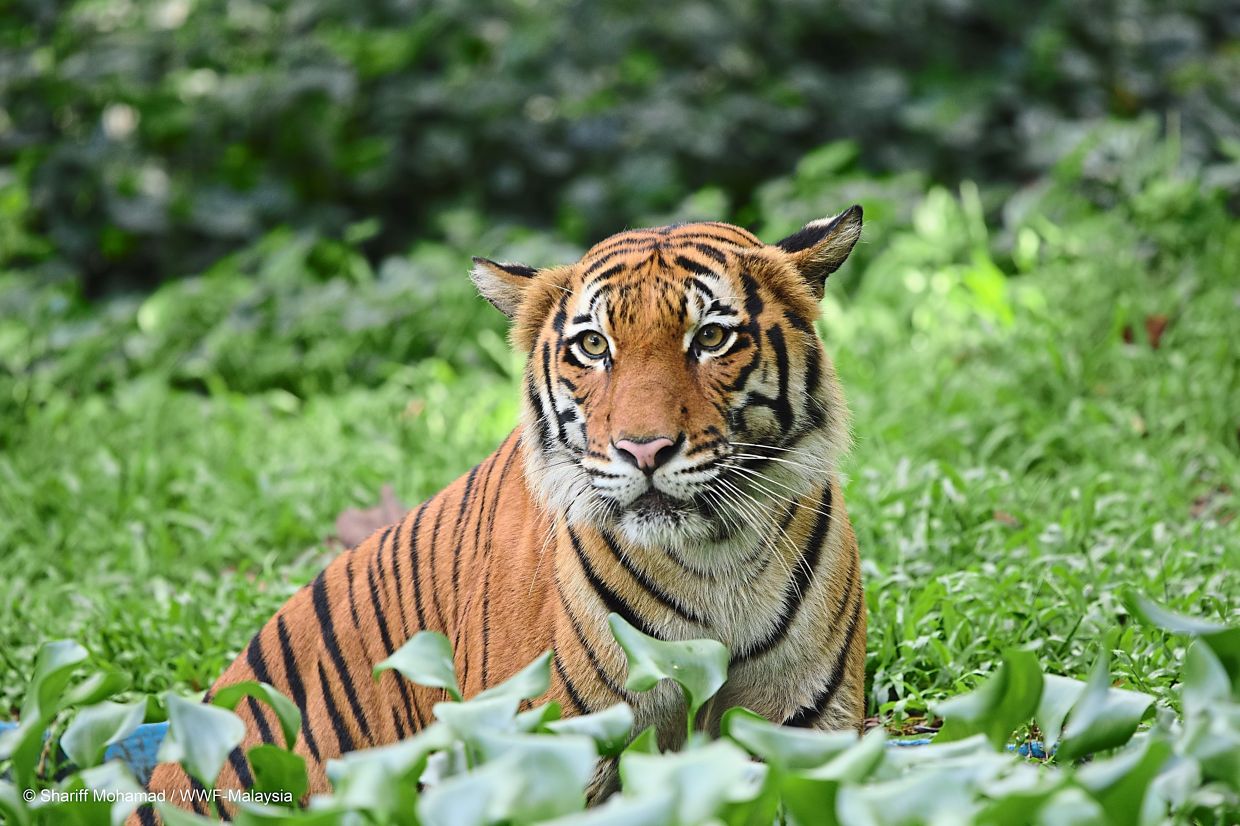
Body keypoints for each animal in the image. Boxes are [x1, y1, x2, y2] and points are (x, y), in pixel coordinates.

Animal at [136, 208, 867, 822]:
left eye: (711, 337)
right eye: (594, 347)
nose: (644, 450)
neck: (712, 559)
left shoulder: (807, 739)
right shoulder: (538, 751)